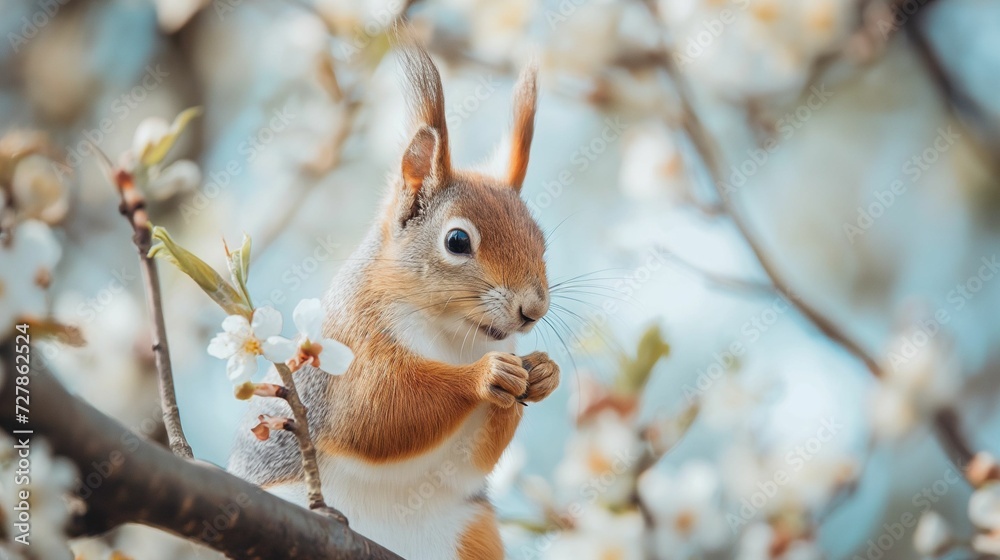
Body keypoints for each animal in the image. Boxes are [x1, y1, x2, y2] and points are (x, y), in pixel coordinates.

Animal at [228, 45, 560, 560]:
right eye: (458, 241)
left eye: (542, 243)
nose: (534, 309)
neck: (452, 336)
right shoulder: (352, 344)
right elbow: (378, 408)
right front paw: (486, 375)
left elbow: (472, 460)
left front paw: (543, 372)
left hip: (474, 532)